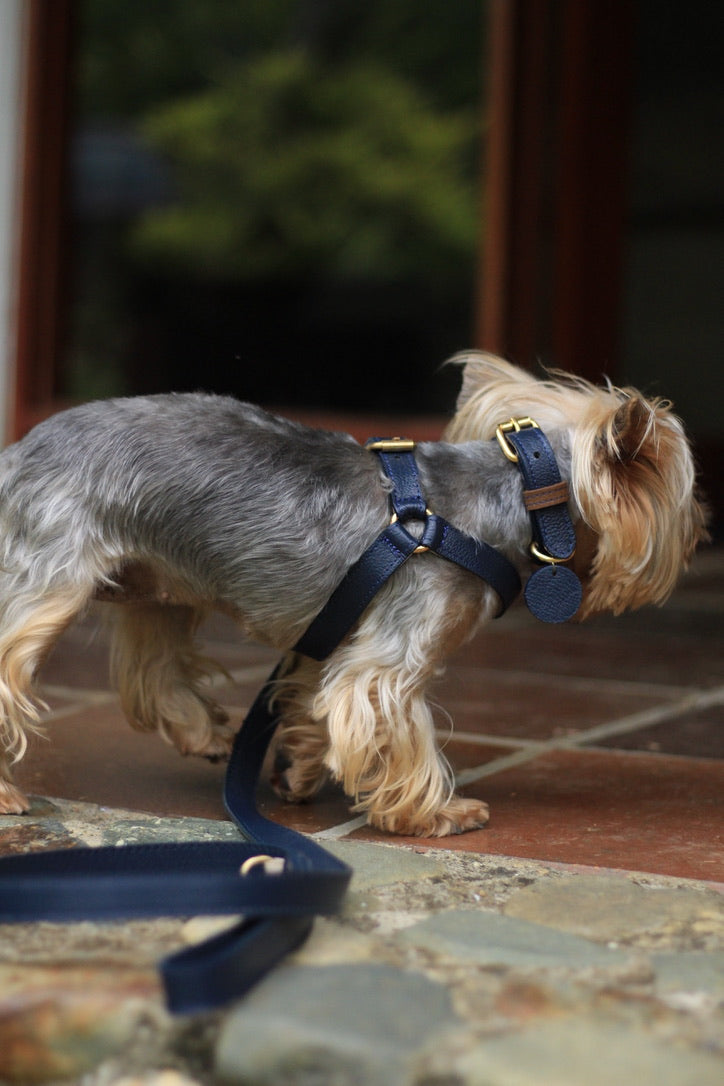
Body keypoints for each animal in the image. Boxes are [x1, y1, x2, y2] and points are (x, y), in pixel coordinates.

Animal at [0, 351, 703, 834]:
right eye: (686, 494)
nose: (703, 525)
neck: (516, 494)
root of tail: (18, 450)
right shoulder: (392, 654)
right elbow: (392, 718)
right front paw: (435, 813)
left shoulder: (335, 630)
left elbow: (314, 700)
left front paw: (300, 766)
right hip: (54, 571)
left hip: (161, 582)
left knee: (153, 665)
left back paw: (204, 733)